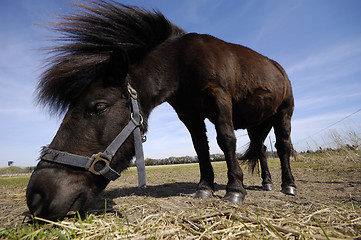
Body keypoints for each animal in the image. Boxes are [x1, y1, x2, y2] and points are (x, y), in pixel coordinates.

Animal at [26, 0, 296, 220]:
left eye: (99, 106)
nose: (37, 195)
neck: (181, 63)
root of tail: (278, 68)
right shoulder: (189, 114)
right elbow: (201, 148)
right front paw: (205, 188)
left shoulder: (219, 98)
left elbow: (226, 140)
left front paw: (235, 189)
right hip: (257, 123)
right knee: (262, 149)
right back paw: (267, 183)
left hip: (284, 113)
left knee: (282, 146)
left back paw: (288, 185)